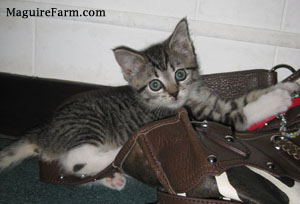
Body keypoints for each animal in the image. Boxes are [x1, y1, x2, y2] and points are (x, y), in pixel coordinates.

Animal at [0, 18, 298, 190]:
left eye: (180, 74)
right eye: (155, 85)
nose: (175, 94)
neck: (190, 97)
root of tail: (45, 132)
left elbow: (247, 98)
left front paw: (286, 86)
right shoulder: (202, 116)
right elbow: (242, 115)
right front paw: (278, 99)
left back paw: (113, 175)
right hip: (88, 125)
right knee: (74, 160)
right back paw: (120, 152)